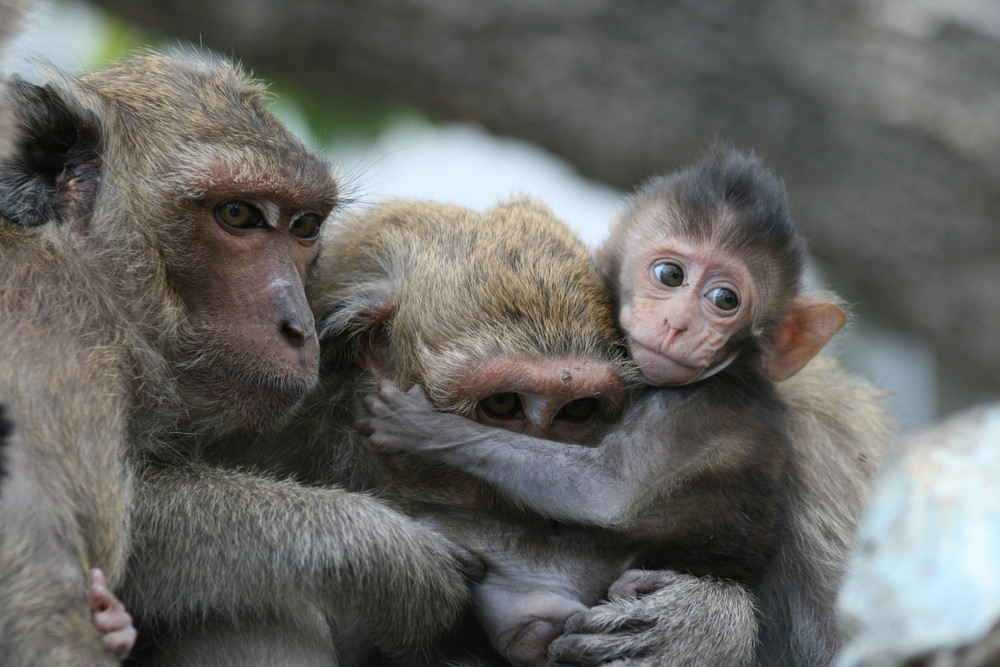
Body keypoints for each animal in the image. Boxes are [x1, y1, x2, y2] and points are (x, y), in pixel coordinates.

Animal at [362, 149, 892, 664]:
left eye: (725, 299)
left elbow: (606, 491)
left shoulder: (698, 407)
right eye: (670, 274)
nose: (679, 323)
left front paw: (421, 426)